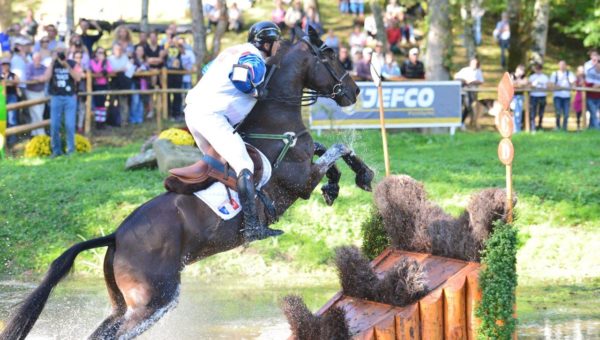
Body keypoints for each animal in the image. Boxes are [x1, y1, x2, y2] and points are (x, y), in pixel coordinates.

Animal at [1, 28, 376, 340]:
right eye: (330, 55)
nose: (356, 90)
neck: (275, 115)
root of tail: (116, 235)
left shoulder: (305, 162)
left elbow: (331, 151)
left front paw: (348, 182)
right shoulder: (300, 181)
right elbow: (338, 148)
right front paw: (354, 178)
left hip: (123, 304)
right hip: (155, 300)